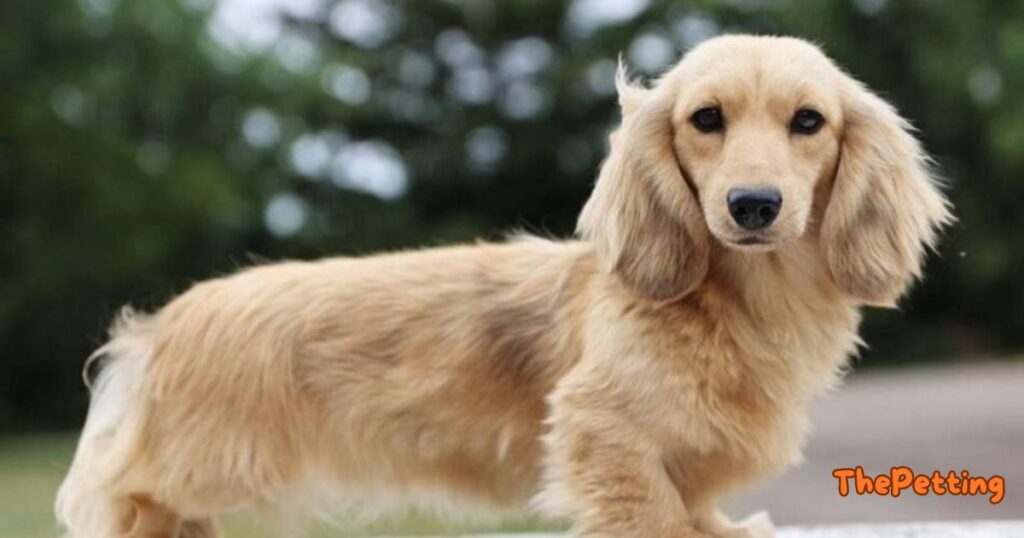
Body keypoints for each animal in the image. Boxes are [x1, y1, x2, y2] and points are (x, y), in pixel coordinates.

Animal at [56, 34, 950, 536]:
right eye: (706, 119)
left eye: (808, 122)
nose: (754, 205)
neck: (741, 306)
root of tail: (162, 326)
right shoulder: (601, 435)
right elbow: (656, 515)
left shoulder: (689, 456)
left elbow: (693, 506)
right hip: (195, 464)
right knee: (118, 491)